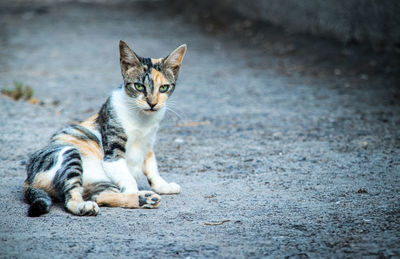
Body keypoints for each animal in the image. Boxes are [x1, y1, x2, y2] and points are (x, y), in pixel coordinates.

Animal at [21, 40, 185, 217]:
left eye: (164, 88)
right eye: (139, 86)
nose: (152, 104)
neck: (142, 120)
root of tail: (28, 179)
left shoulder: (148, 144)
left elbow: (151, 166)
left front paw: (162, 185)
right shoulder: (113, 154)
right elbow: (129, 179)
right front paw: (136, 189)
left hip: (100, 181)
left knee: (102, 196)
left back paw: (146, 199)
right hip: (70, 153)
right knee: (72, 197)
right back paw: (87, 205)